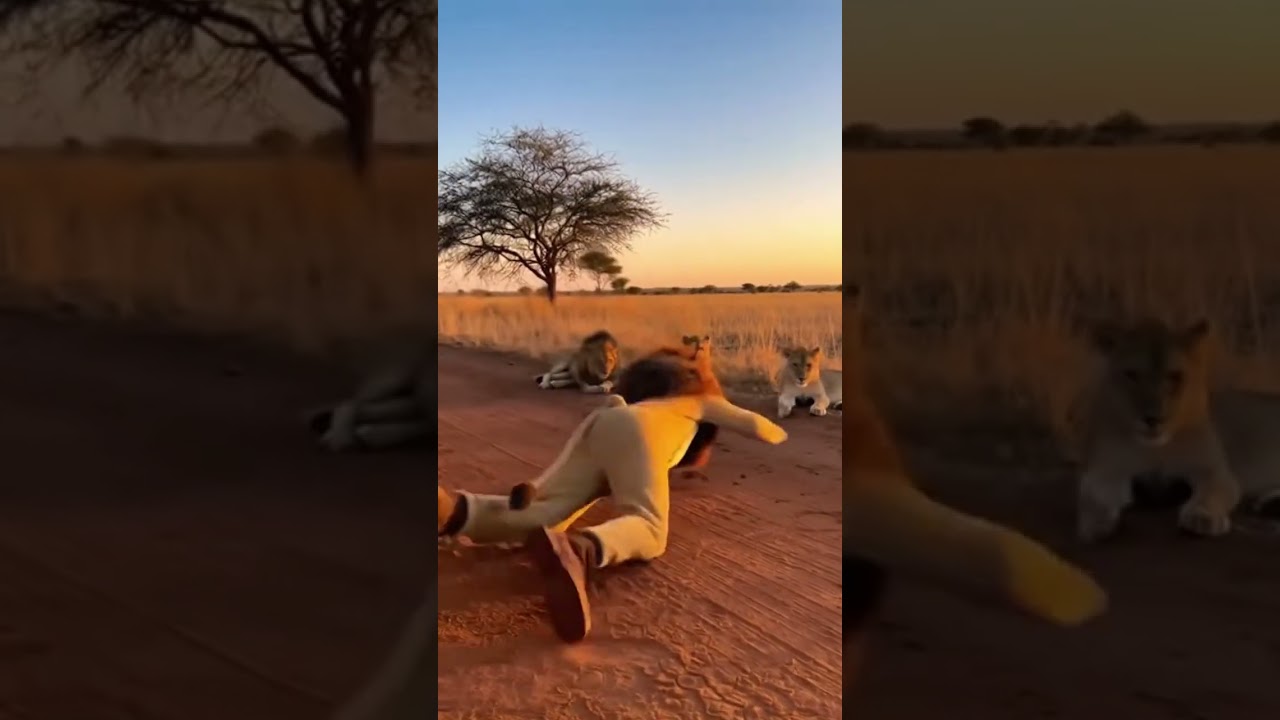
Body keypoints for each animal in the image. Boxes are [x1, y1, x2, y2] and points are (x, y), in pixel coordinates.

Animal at [1071, 317, 1280, 543]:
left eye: (1175, 376)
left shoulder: (1214, 471)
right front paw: (1095, 524)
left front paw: (1201, 517)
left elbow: (1210, 495)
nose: (1153, 419)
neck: (1156, 449)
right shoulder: (1106, 469)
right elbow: (1093, 495)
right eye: (1132, 375)